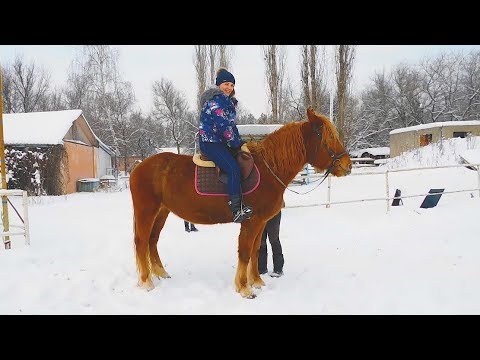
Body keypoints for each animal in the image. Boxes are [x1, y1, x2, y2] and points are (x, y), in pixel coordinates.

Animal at [129, 107, 350, 298]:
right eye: (328, 138)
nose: (347, 165)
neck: (269, 169)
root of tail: (139, 167)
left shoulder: (260, 222)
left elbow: (256, 251)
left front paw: (257, 281)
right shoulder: (251, 222)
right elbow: (245, 253)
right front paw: (244, 288)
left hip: (162, 211)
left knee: (152, 241)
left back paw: (160, 273)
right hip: (146, 211)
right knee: (141, 242)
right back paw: (146, 282)